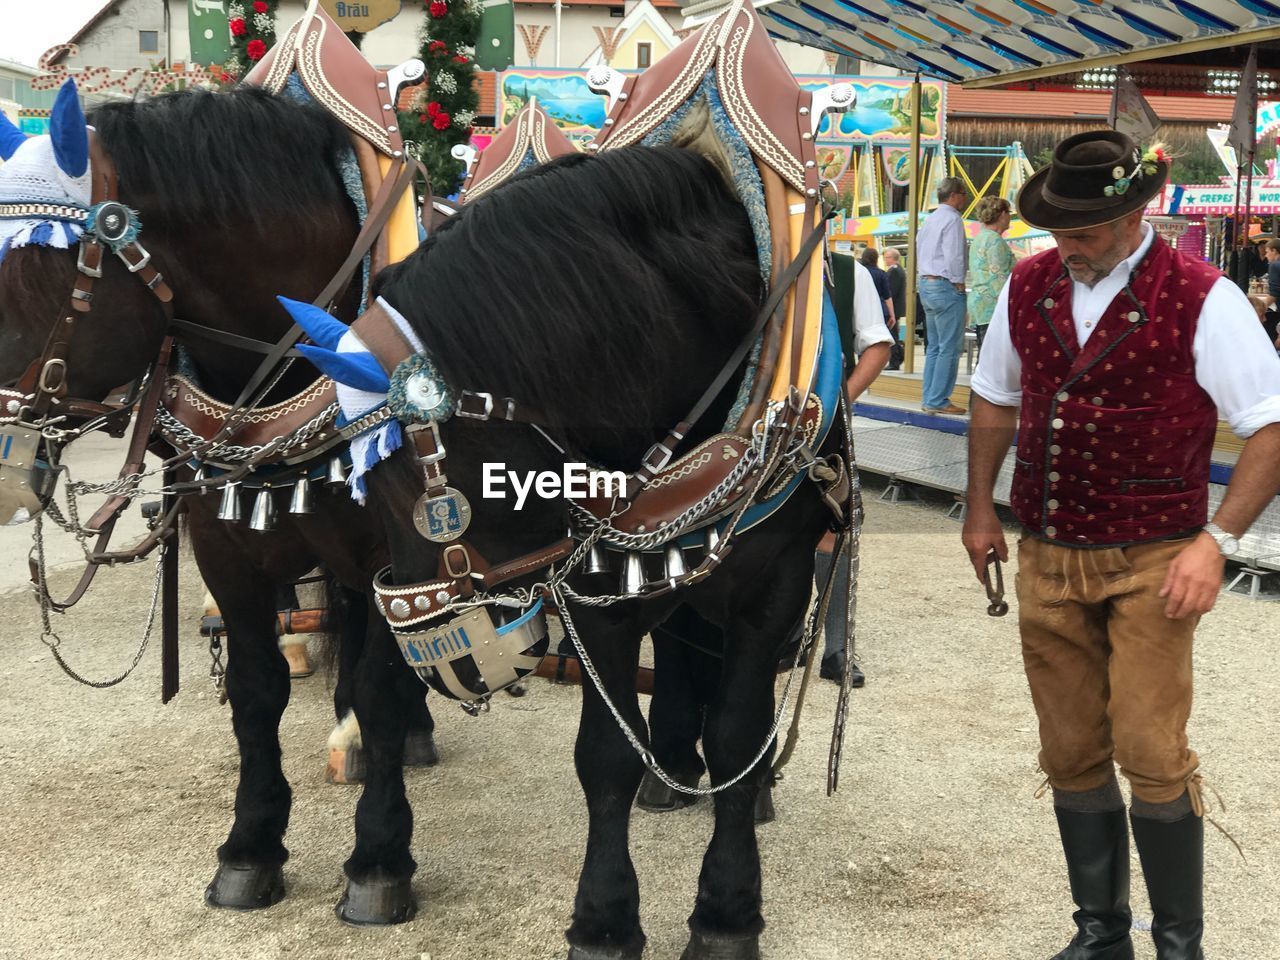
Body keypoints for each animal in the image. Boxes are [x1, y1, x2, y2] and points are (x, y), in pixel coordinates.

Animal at [0, 88, 437, 916]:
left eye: (32, 266)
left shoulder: (396, 545)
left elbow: (380, 682)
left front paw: (379, 857)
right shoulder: (221, 543)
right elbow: (255, 689)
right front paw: (251, 846)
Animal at [358, 146, 839, 957]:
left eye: (417, 493)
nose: (427, 653)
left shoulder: (776, 582)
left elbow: (738, 732)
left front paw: (727, 910)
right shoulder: (601, 587)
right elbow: (605, 754)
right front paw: (606, 917)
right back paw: (668, 769)